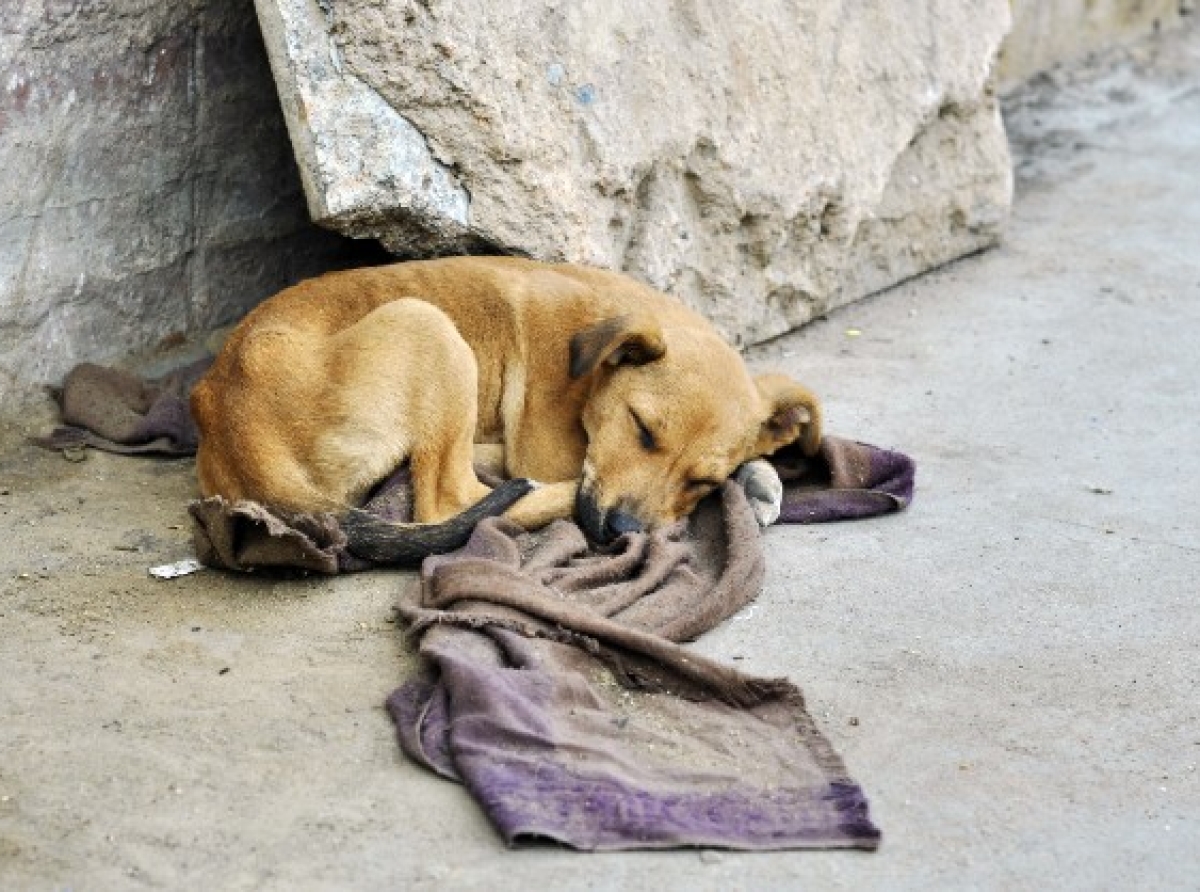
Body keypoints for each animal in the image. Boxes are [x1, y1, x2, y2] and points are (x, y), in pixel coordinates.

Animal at [192, 254, 820, 557]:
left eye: (701, 480)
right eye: (641, 428)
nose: (620, 532)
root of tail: (232, 421)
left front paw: (758, 476)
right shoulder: (551, 450)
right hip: (427, 325)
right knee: (449, 503)